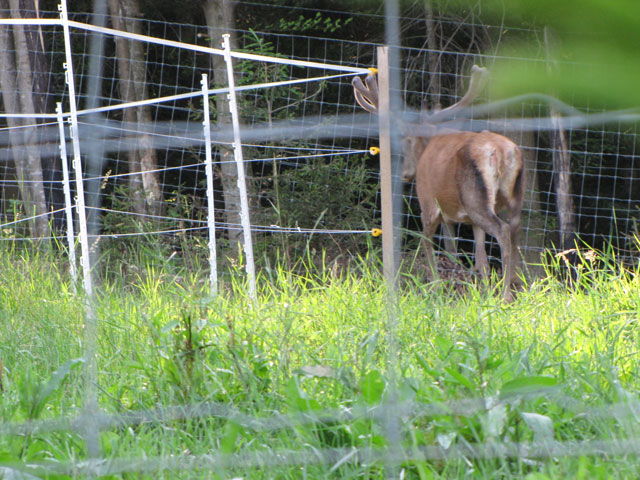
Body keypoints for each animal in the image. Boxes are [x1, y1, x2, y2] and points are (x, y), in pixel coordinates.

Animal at [352, 65, 524, 302]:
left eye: (406, 140)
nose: (404, 174)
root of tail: (502, 152)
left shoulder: (428, 203)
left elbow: (428, 244)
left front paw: (435, 288)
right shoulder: (461, 218)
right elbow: (475, 256)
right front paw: (480, 290)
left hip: (474, 198)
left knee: (503, 230)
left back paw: (505, 295)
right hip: (513, 195)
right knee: (515, 231)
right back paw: (515, 286)